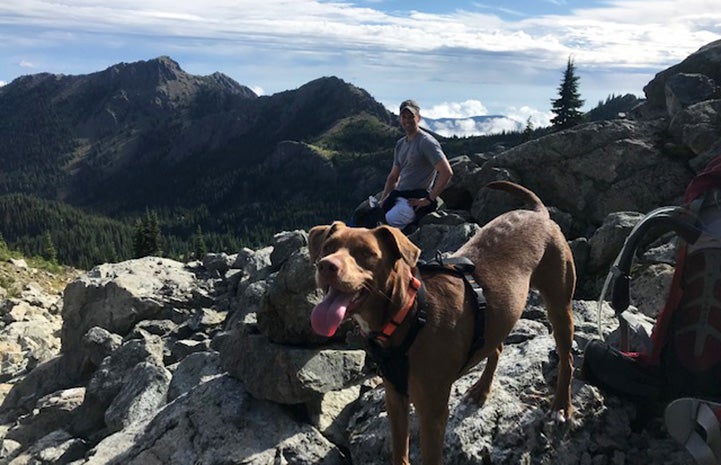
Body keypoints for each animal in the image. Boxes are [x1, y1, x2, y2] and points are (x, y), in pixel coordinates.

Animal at [306, 181, 576, 464]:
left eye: (366, 253)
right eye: (327, 248)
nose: (326, 266)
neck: (408, 315)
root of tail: (538, 213)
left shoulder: (432, 411)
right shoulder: (395, 398)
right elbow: (399, 452)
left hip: (559, 303)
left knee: (567, 357)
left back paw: (561, 407)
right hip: (500, 315)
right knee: (497, 346)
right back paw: (481, 390)